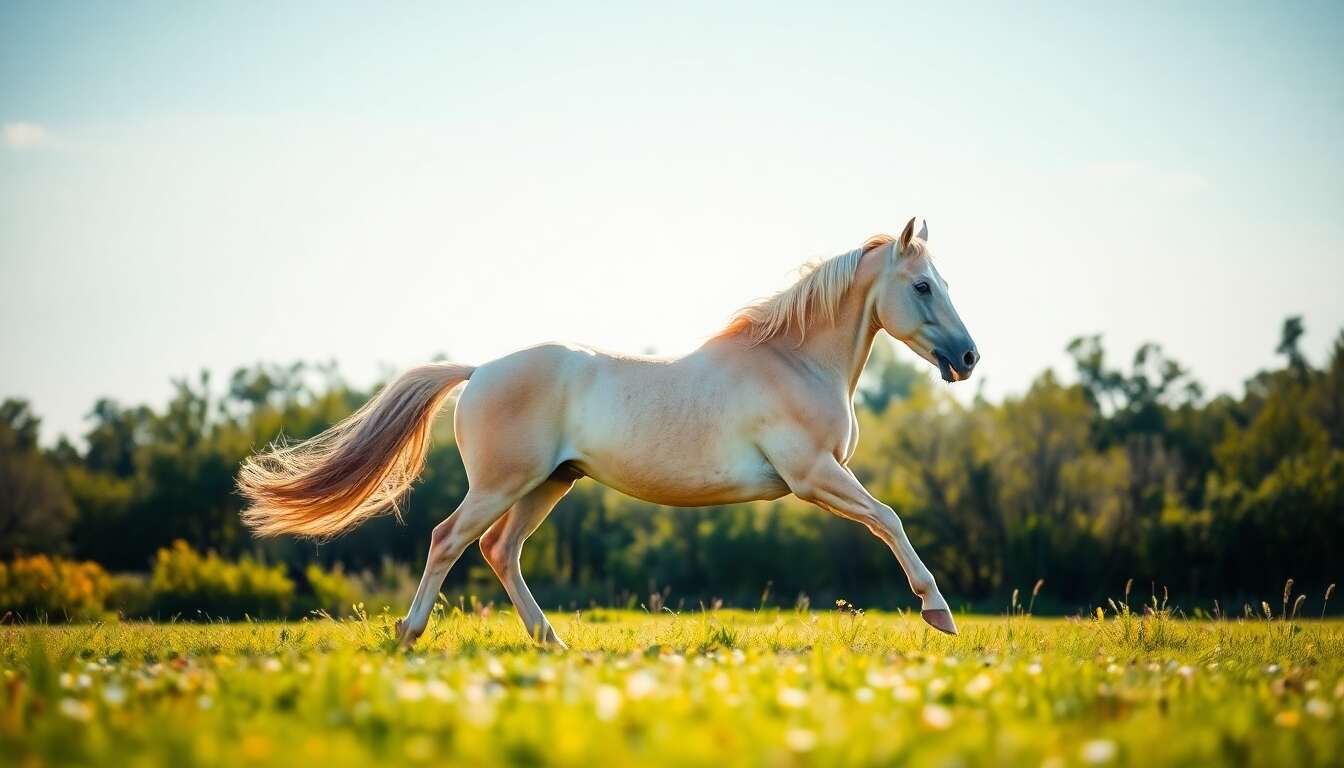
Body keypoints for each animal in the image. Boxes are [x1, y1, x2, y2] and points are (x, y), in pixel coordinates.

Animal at [237, 217, 979, 647]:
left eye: (944, 282)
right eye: (921, 286)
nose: (969, 357)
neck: (792, 360)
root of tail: (479, 371)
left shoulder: (821, 476)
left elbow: (885, 521)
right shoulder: (814, 474)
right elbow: (889, 519)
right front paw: (938, 612)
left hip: (549, 486)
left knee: (500, 552)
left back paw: (552, 643)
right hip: (503, 485)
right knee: (449, 540)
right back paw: (410, 635)